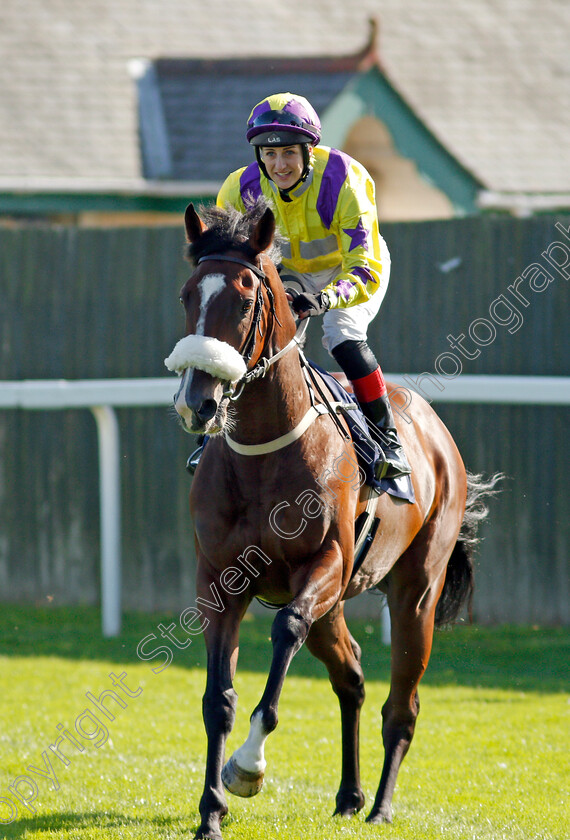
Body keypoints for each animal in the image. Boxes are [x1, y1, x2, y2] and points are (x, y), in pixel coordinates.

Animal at [165, 200, 496, 836]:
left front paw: (247, 768)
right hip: (338, 607)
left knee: (401, 704)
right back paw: (348, 794)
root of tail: (438, 435)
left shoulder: (326, 563)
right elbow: (218, 698)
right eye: (188, 294)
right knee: (353, 677)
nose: (199, 403)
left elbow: (285, 630)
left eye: (245, 297)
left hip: (414, 591)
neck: (263, 454)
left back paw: (381, 805)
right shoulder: (218, 581)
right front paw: (210, 811)